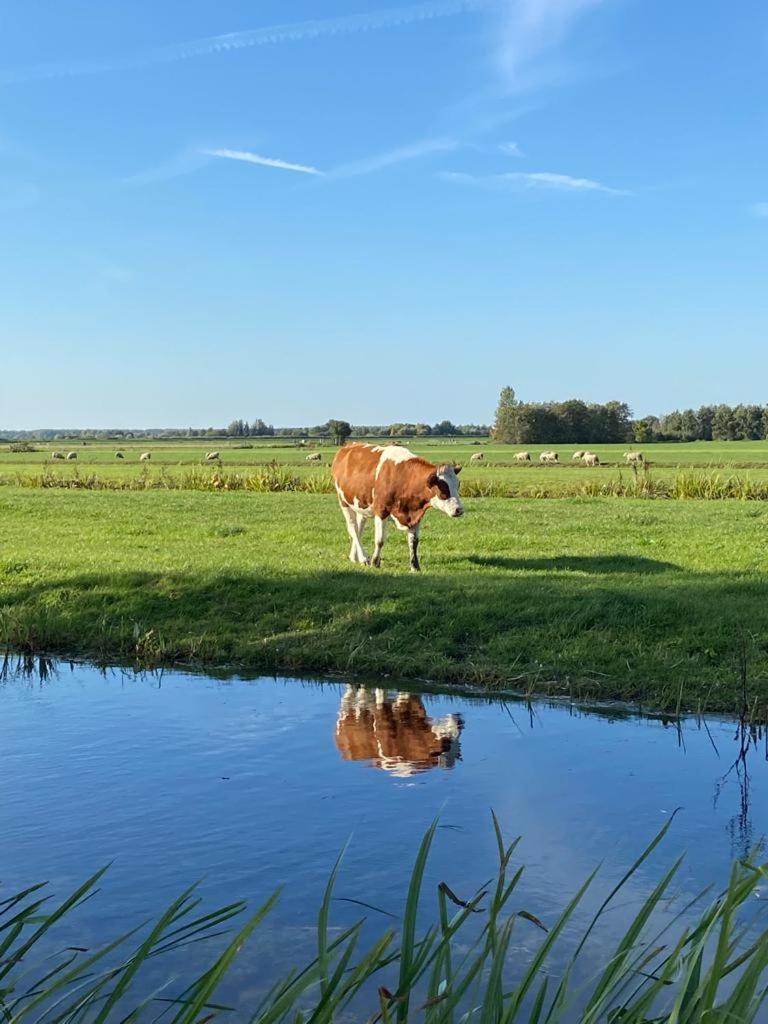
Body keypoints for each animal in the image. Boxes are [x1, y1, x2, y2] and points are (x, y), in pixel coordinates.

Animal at [331, 442, 462, 573]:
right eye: (443, 489)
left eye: (458, 485)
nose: (459, 510)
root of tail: (348, 446)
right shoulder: (381, 511)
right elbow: (380, 540)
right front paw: (375, 562)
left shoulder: (416, 515)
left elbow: (414, 542)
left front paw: (415, 566)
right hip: (344, 502)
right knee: (353, 528)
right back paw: (363, 558)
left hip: (361, 505)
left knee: (359, 528)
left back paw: (354, 557)